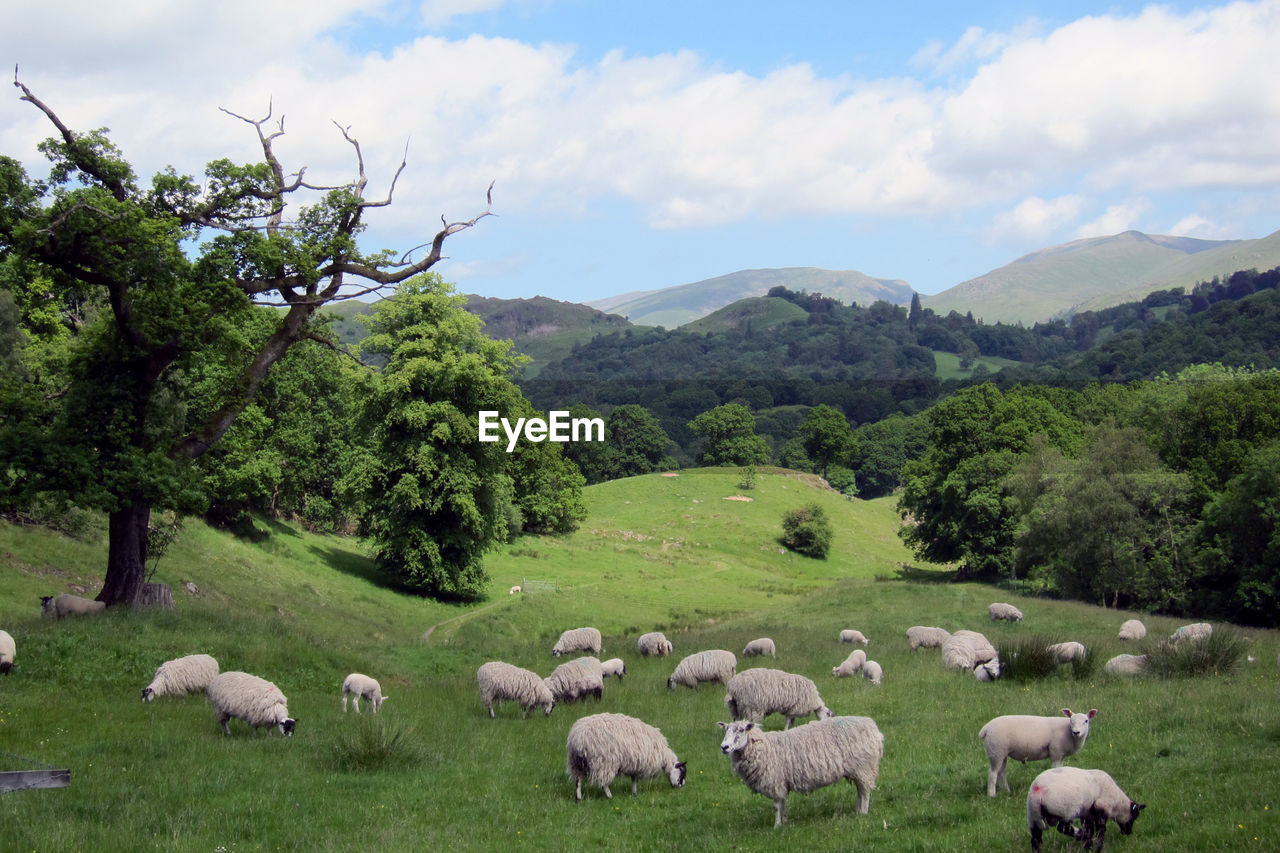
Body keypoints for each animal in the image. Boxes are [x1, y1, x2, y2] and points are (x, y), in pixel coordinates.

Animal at [716, 712, 885, 824]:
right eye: (726, 729)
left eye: (741, 730)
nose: (724, 747)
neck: (764, 747)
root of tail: (873, 727)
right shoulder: (782, 782)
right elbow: (782, 803)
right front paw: (784, 822)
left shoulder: (775, 781)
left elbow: (776, 805)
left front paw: (777, 826)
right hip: (859, 770)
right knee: (860, 790)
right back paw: (858, 811)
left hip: (864, 767)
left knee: (865, 791)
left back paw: (863, 813)